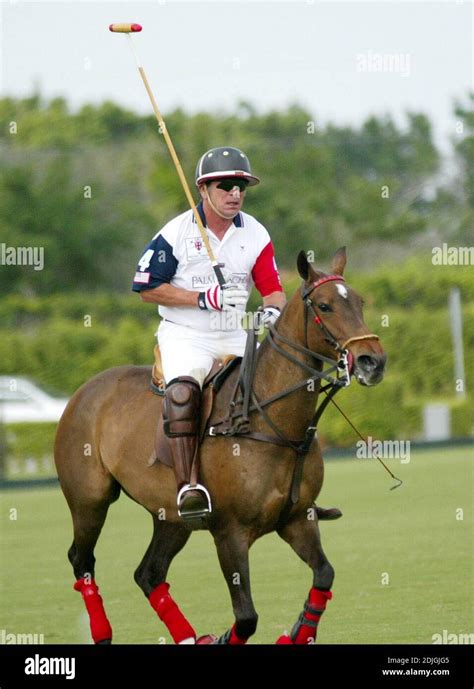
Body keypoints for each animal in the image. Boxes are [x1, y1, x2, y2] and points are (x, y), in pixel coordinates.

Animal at [54, 249, 386, 644]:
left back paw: (188, 636)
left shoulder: (298, 519)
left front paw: (295, 634)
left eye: (361, 302)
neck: (270, 422)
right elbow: (246, 617)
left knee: (148, 573)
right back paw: (102, 632)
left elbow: (324, 575)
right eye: (324, 305)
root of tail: (83, 391)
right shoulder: (230, 533)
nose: (373, 361)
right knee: (82, 560)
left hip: (171, 517)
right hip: (89, 499)